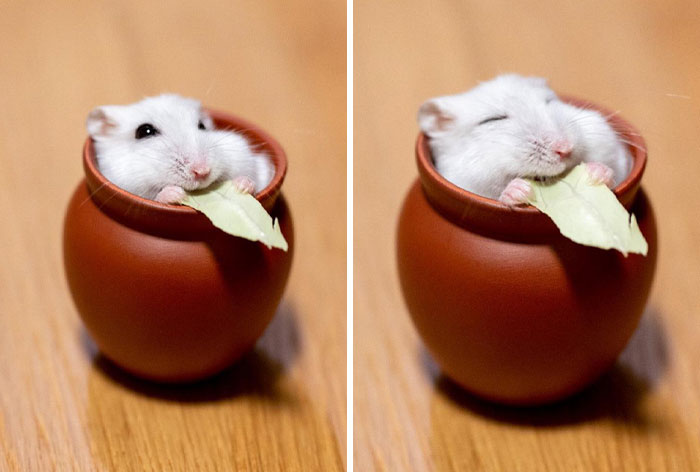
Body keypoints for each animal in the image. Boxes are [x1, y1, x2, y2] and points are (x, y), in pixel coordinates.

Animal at [86, 94, 274, 204]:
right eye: (144, 131)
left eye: (202, 126)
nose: (202, 171)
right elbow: (158, 196)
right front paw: (177, 194)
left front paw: (242, 185)